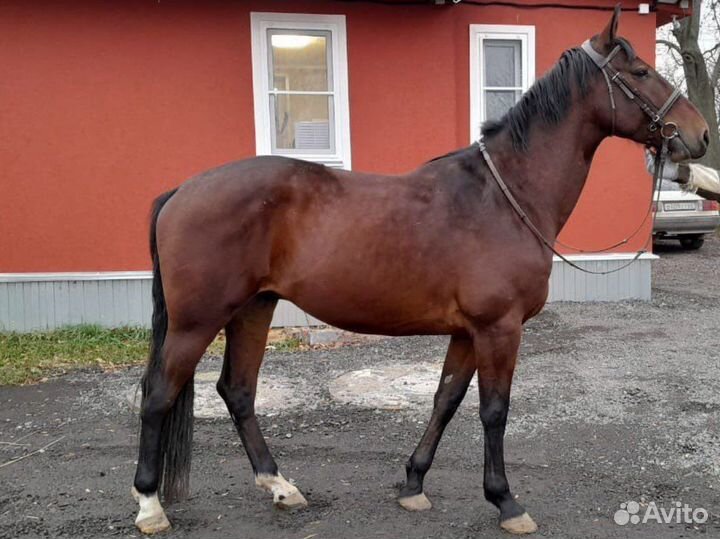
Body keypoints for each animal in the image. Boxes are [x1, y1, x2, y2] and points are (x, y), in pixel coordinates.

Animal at [131, 7, 709, 535]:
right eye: (640, 72)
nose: (700, 134)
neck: (505, 196)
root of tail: (182, 190)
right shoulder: (499, 329)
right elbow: (494, 410)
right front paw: (505, 501)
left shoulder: (468, 332)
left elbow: (445, 400)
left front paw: (413, 483)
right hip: (197, 320)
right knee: (158, 393)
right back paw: (150, 505)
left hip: (254, 307)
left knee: (238, 390)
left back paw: (280, 486)